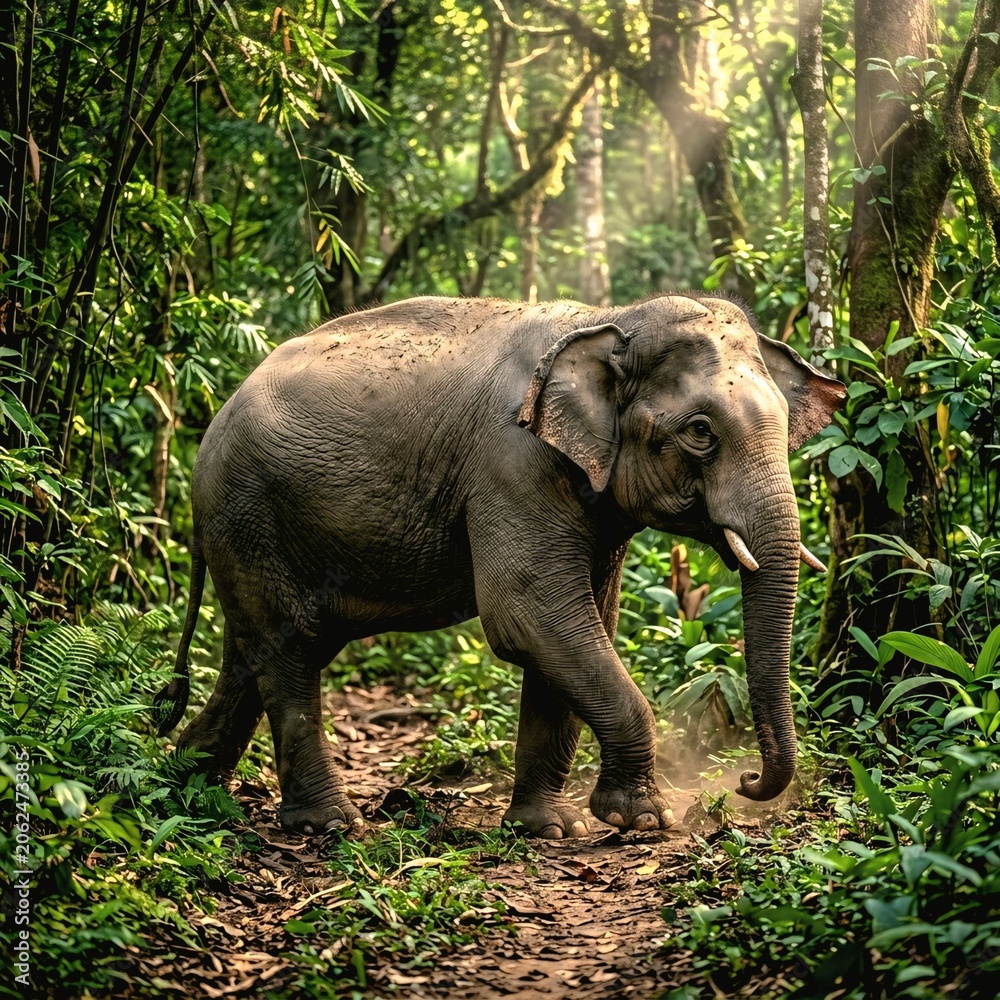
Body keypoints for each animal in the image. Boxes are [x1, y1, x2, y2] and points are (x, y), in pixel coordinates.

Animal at [155, 293, 845, 838]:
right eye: (701, 431)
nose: (748, 781)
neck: (608, 319)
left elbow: (579, 624)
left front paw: (550, 828)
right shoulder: (512, 464)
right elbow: (528, 616)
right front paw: (643, 820)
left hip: (250, 530)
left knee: (255, 652)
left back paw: (184, 783)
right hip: (250, 512)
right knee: (291, 650)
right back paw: (327, 825)